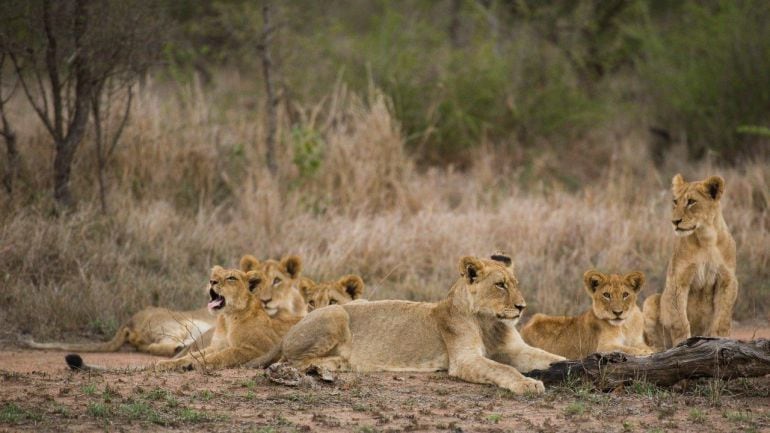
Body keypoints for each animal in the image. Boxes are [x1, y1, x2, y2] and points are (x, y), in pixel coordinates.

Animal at [67, 264, 292, 372]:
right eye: (215, 275)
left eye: (231, 278)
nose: (212, 281)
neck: (227, 319)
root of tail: (129, 321)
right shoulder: (215, 344)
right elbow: (194, 355)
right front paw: (171, 364)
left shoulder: (255, 348)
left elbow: (220, 356)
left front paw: (194, 365)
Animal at [248, 255, 564, 394]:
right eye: (500, 285)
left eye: (515, 284)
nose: (522, 307)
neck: (490, 322)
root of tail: (293, 325)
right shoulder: (464, 360)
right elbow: (503, 368)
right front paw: (527, 383)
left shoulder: (516, 349)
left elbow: (551, 357)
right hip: (337, 313)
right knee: (291, 361)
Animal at [520, 270, 652, 358]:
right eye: (606, 295)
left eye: (625, 294)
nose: (617, 312)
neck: (624, 326)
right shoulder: (603, 347)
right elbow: (624, 348)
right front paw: (644, 352)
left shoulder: (638, 341)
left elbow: (644, 346)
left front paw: (649, 350)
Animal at [640, 174, 736, 350]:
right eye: (675, 202)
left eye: (691, 201)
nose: (674, 221)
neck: (706, 238)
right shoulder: (678, 280)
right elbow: (680, 321)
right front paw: (683, 345)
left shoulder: (728, 280)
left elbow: (722, 319)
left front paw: (721, 340)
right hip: (650, 301)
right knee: (654, 343)